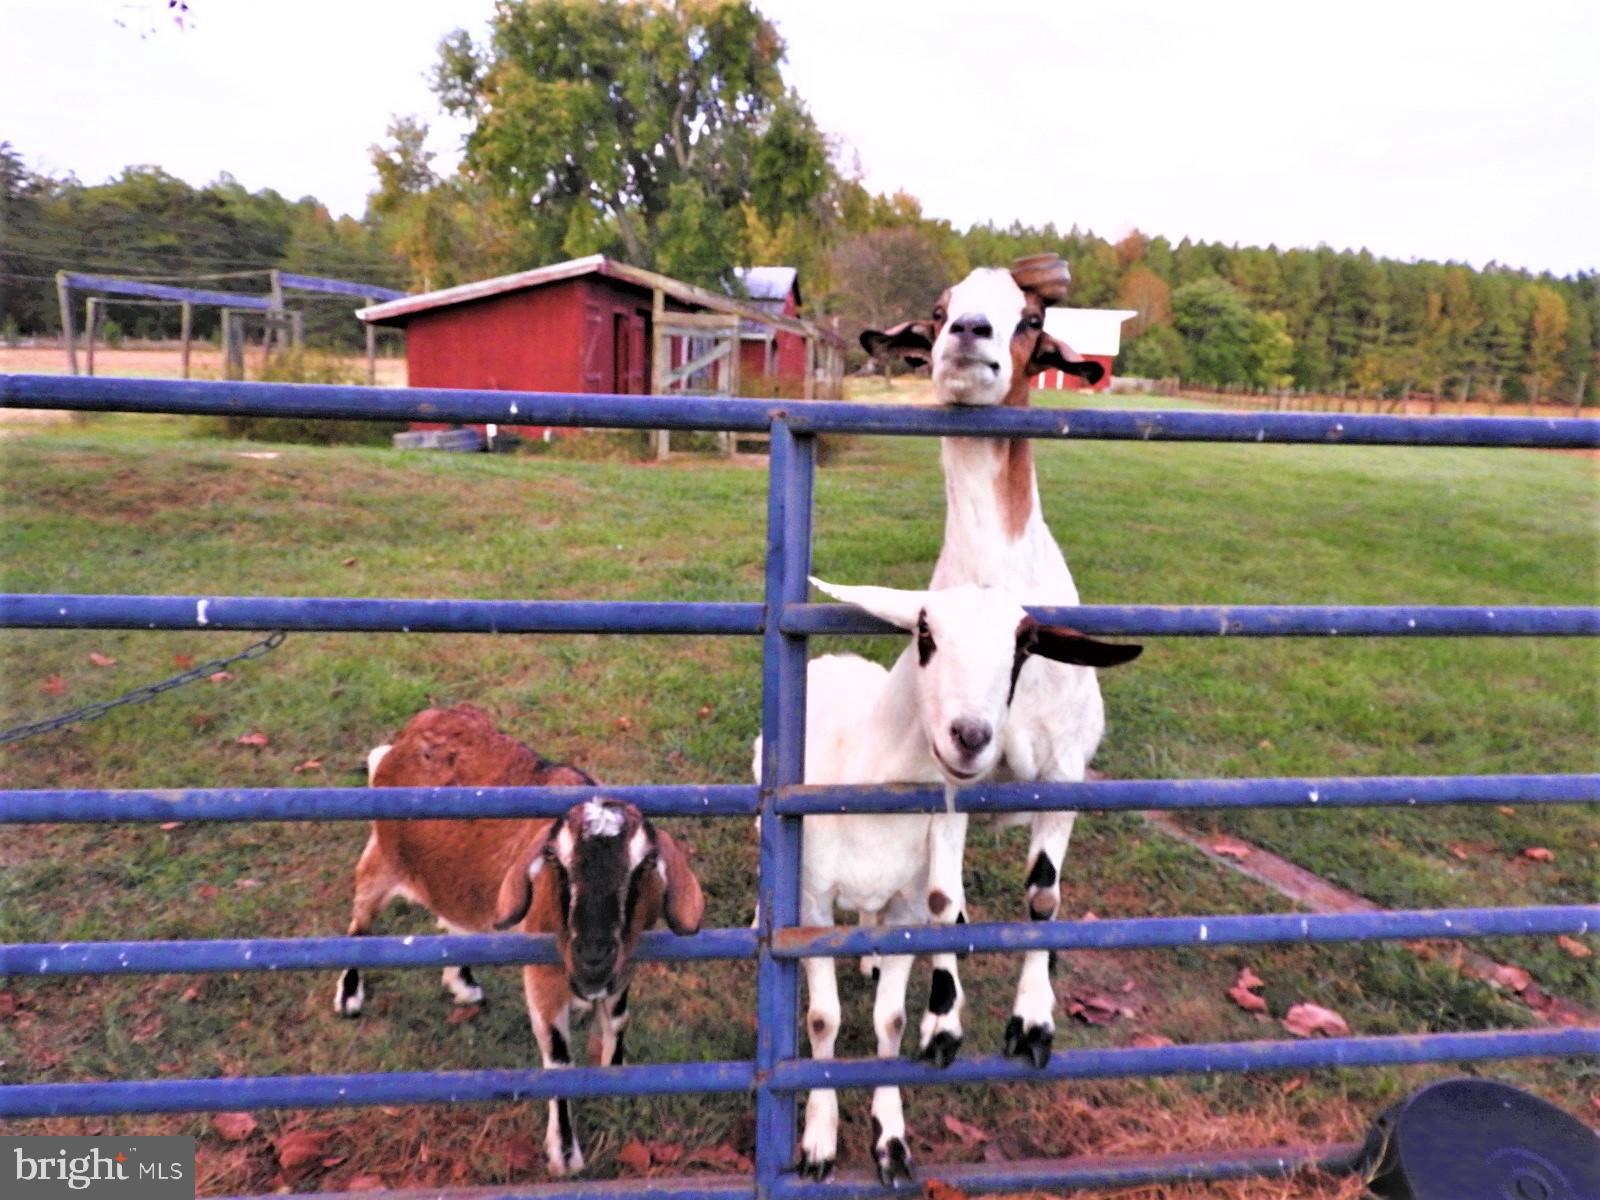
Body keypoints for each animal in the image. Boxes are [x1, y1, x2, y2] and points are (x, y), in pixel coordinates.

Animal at [334, 704, 705, 1176]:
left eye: (642, 867)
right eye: (556, 864)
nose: (592, 956)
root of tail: (420, 724)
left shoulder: (627, 961)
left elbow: (618, 1019)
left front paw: (617, 1075)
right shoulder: (544, 971)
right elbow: (559, 1057)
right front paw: (564, 1151)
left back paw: (462, 982)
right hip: (384, 857)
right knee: (360, 920)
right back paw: (350, 993)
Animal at [755, 580, 1139, 1183]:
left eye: (1024, 646)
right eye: (925, 631)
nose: (971, 735)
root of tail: (837, 658)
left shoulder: (911, 907)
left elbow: (890, 1019)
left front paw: (890, 1141)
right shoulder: (811, 907)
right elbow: (822, 1019)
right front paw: (817, 1142)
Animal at [861, 255, 1115, 1069]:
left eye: (1030, 320)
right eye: (940, 308)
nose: (968, 333)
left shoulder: (1064, 772)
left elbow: (1044, 896)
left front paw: (1032, 1022)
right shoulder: (945, 778)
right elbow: (944, 903)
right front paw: (942, 1025)